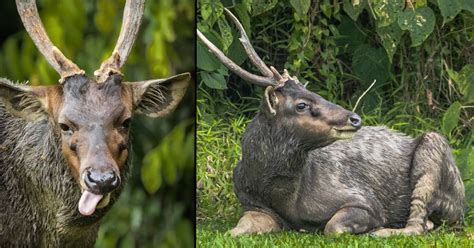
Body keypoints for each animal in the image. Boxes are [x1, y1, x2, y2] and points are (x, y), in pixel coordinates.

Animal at [198, 8, 464, 237]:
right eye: (302, 104)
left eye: (315, 93)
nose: (354, 118)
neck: (284, 197)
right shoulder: (252, 204)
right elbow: (235, 231)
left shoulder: (364, 200)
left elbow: (333, 226)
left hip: (435, 149)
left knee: (419, 222)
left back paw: (383, 231)